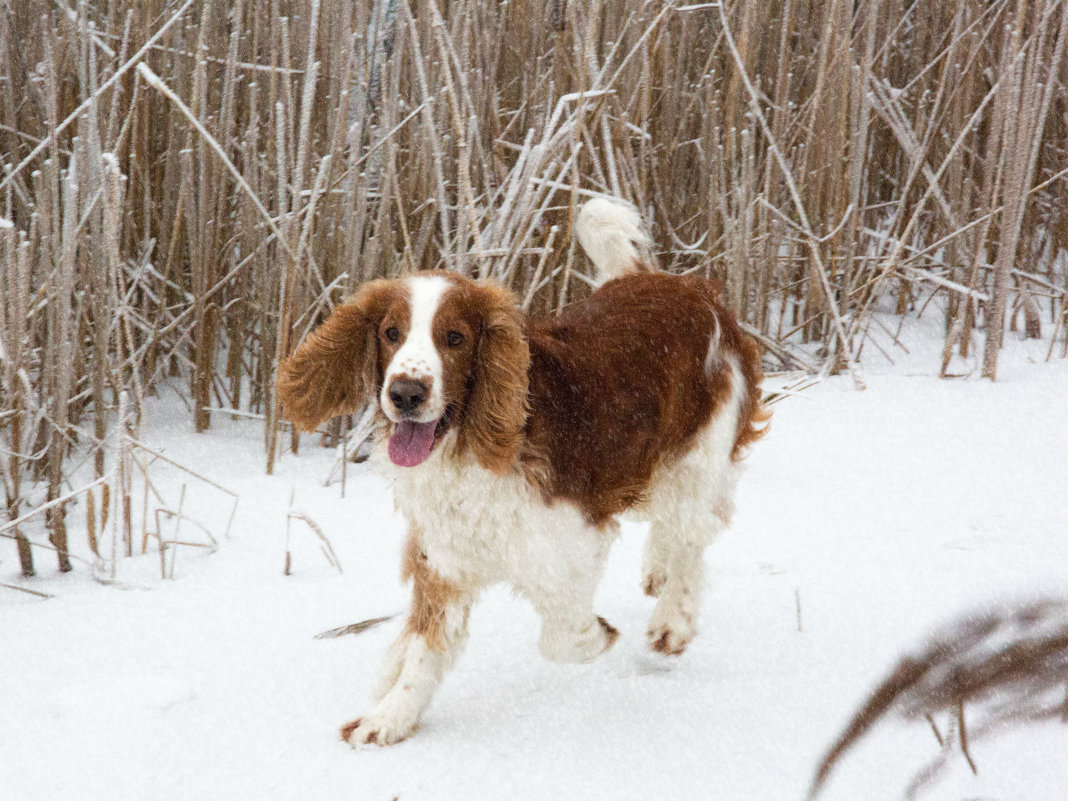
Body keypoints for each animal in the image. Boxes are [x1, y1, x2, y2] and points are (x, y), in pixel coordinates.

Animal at [277, 196, 768, 747]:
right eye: (390, 333)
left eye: (454, 337)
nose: (405, 393)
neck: (468, 445)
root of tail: (680, 286)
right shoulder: (446, 554)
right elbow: (425, 650)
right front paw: (389, 719)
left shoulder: (571, 537)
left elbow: (561, 633)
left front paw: (597, 635)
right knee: (677, 527)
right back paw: (656, 573)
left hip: (698, 453)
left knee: (694, 530)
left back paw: (672, 621)